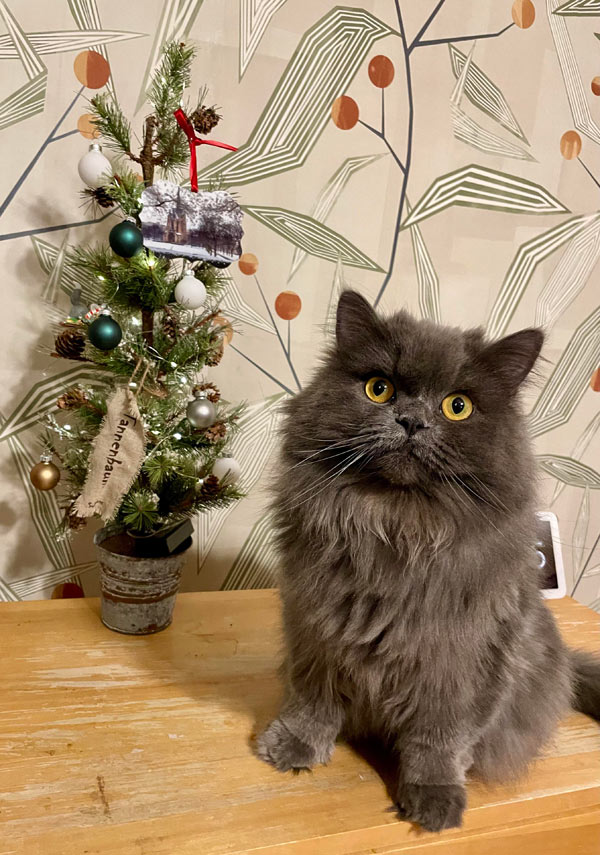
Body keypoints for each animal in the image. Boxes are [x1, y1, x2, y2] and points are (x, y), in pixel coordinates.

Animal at [256, 290, 600, 832]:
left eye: (457, 406)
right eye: (380, 389)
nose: (412, 421)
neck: (398, 533)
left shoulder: (461, 664)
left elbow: (439, 741)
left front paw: (434, 798)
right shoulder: (314, 632)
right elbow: (313, 700)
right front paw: (295, 745)